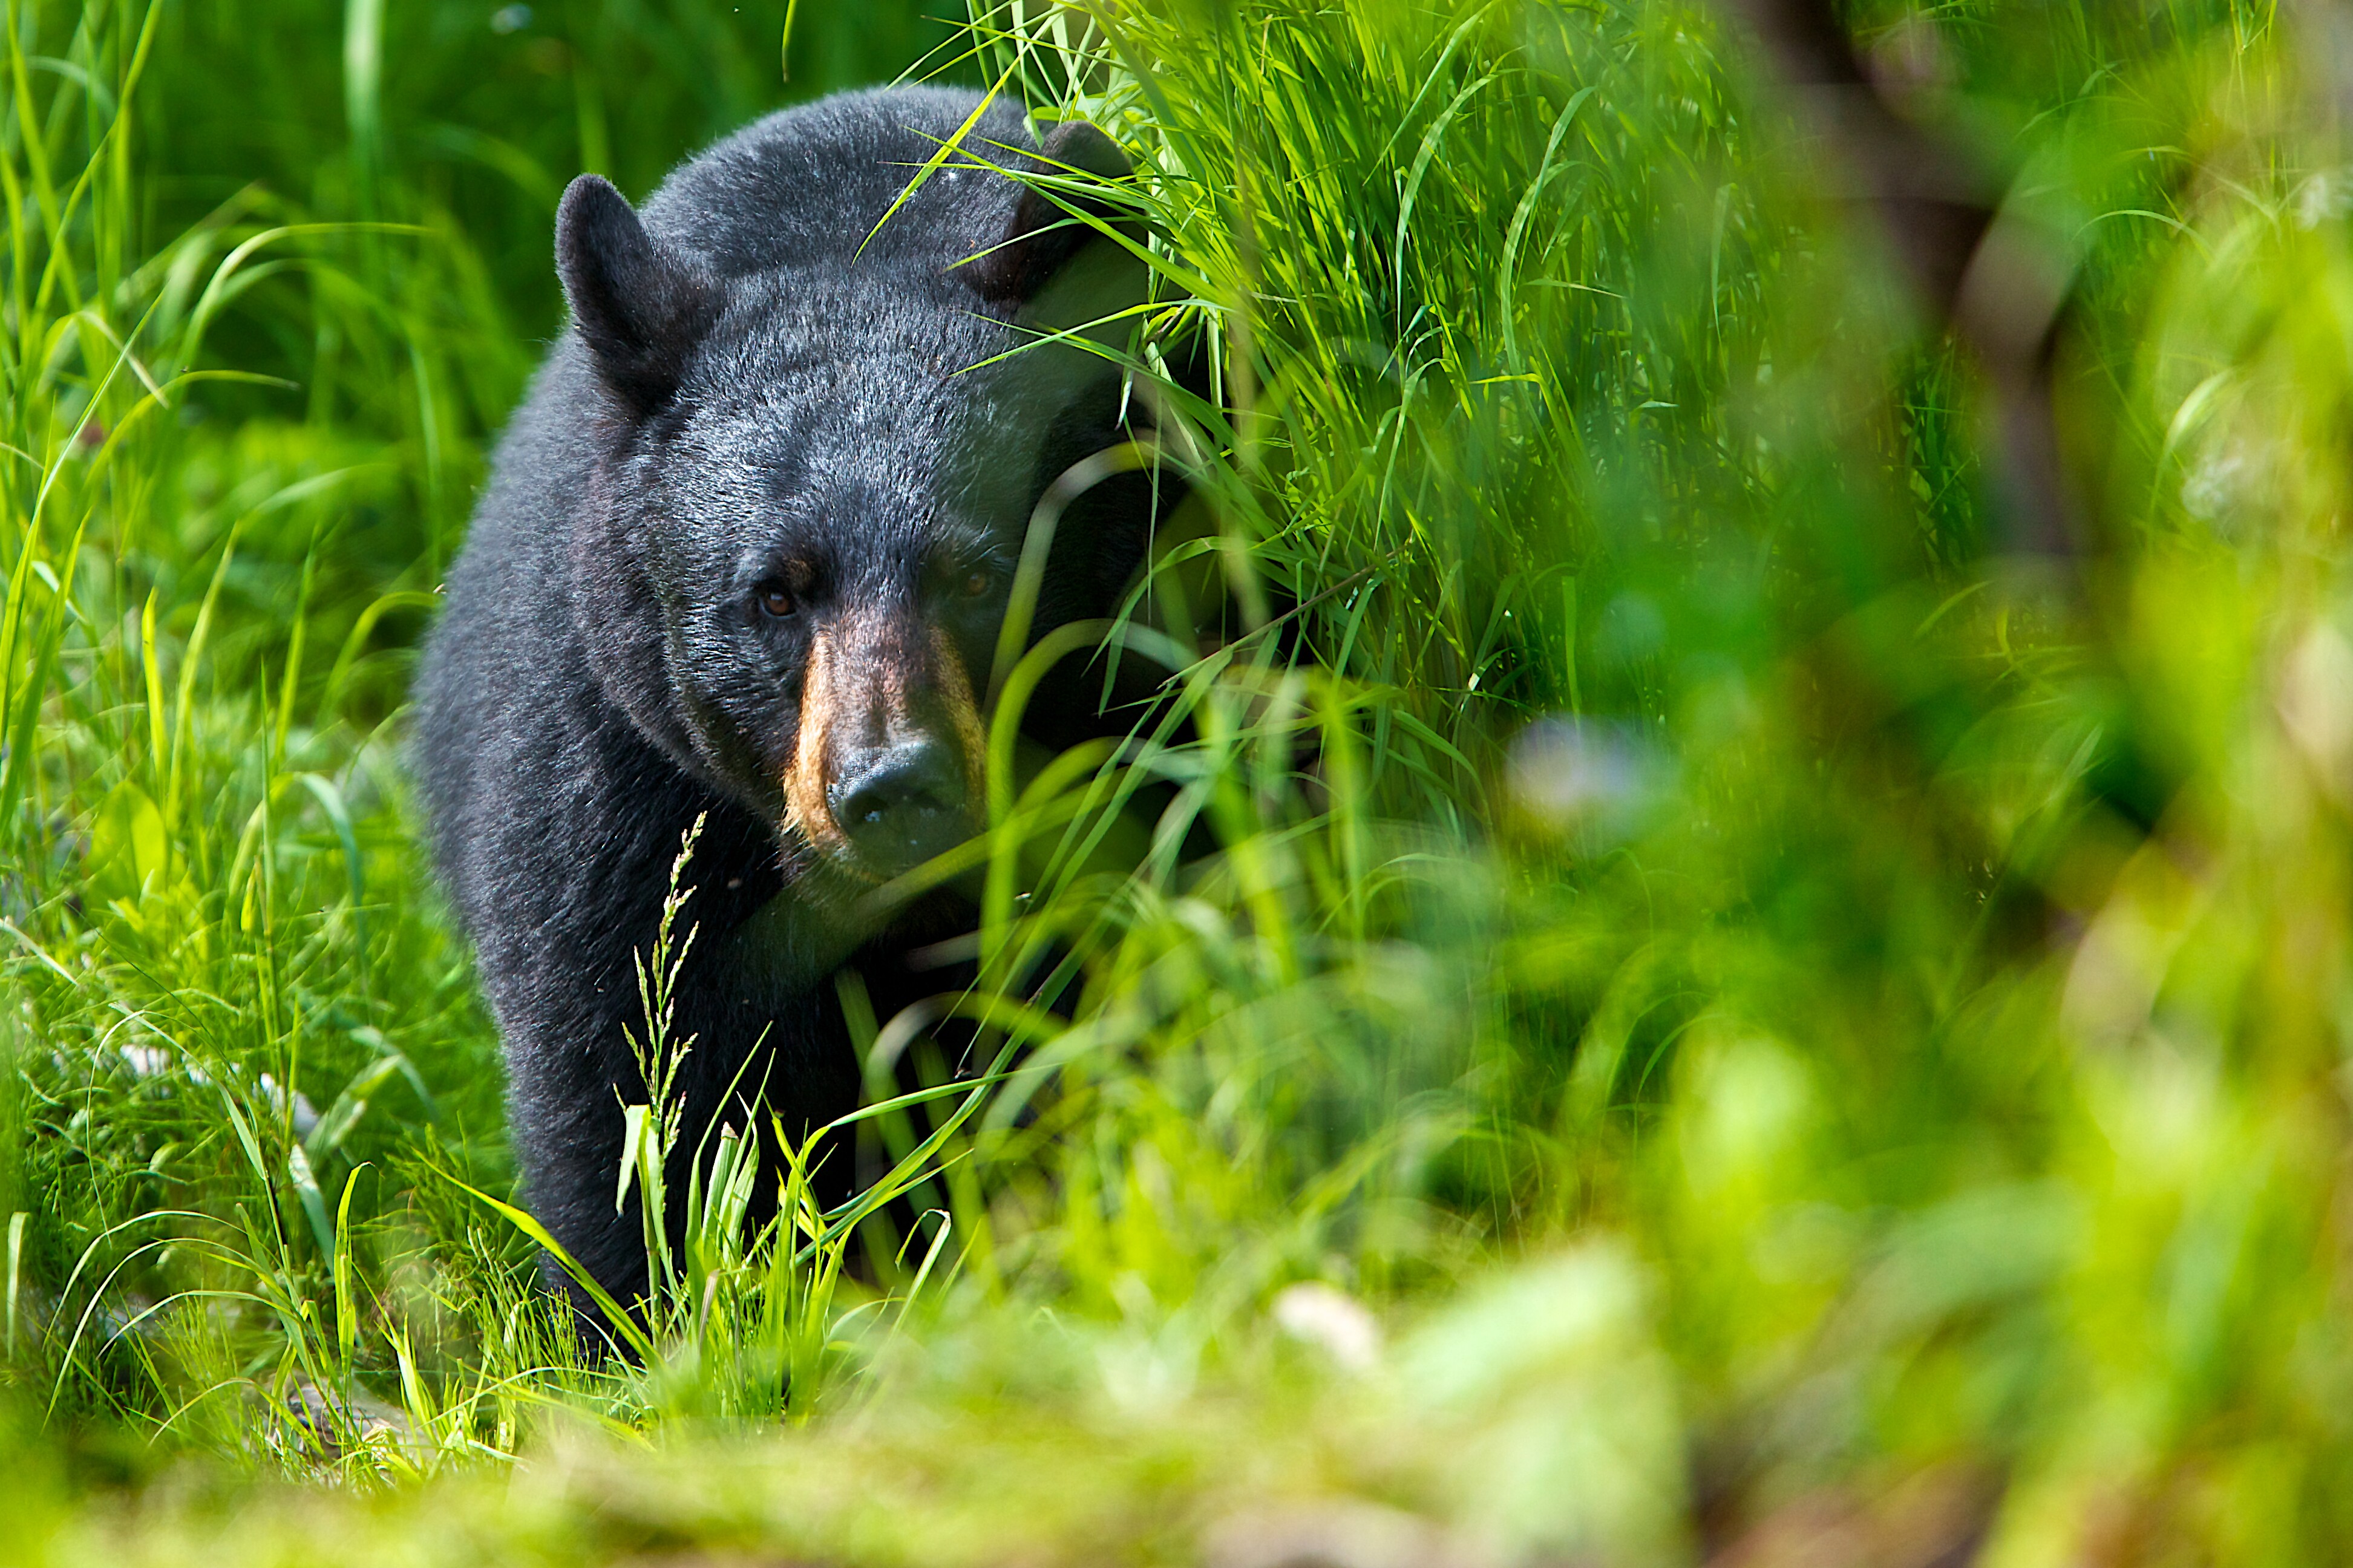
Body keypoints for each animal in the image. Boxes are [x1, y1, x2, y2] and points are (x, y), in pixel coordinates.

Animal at [412, 85, 1165, 1325]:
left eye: (978, 576)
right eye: (774, 593)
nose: (891, 786)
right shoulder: (622, 799)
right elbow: (622, 1093)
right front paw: (638, 1324)